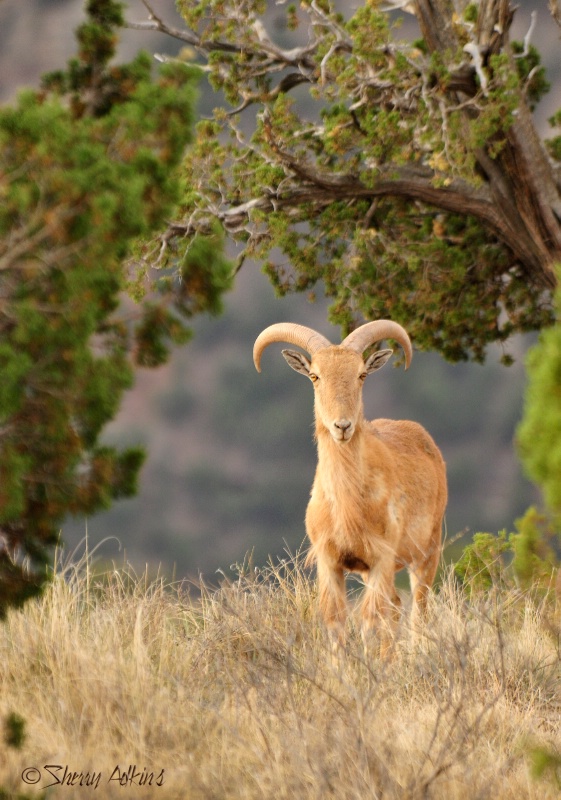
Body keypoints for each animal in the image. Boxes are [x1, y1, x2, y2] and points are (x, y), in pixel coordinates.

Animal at [254, 320, 446, 656]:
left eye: (361, 375)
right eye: (315, 376)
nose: (342, 426)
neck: (348, 506)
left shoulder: (381, 558)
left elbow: (370, 620)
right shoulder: (331, 562)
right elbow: (336, 621)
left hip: (426, 552)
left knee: (417, 612)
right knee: (395, 607)